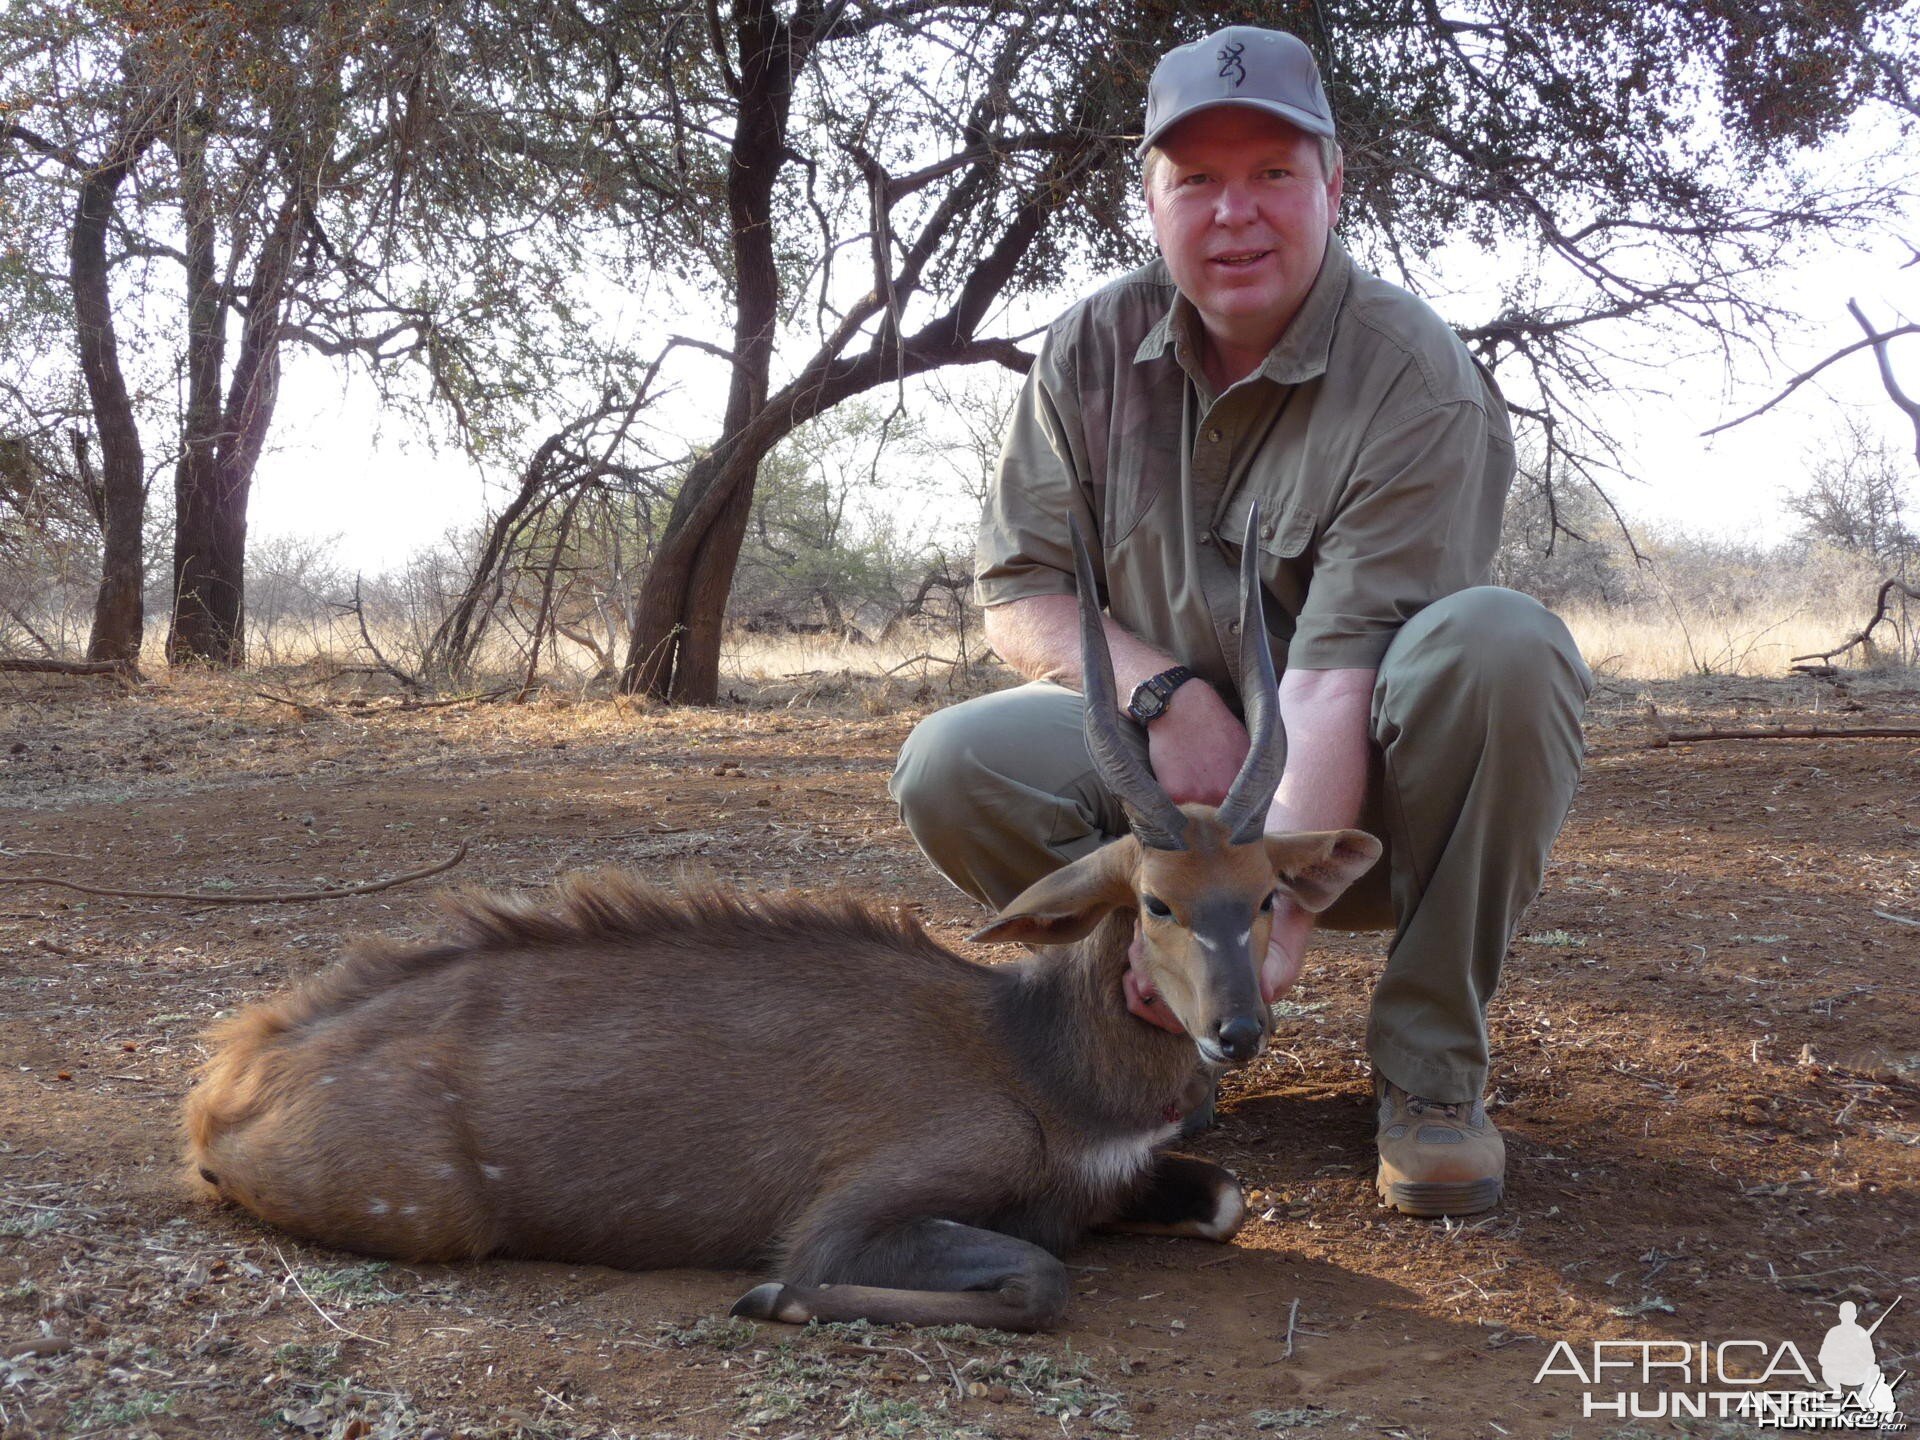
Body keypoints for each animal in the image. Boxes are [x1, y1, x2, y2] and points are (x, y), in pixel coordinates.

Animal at [187, 506, 1374, 1328]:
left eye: (1265, 897)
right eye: (1157, 901)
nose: (1237, 1031)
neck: (1036, 1058)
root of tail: (233, 1082)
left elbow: (1223, 1199)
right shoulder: (858, 1214)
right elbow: (1022, 1277)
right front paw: (776, 1300)